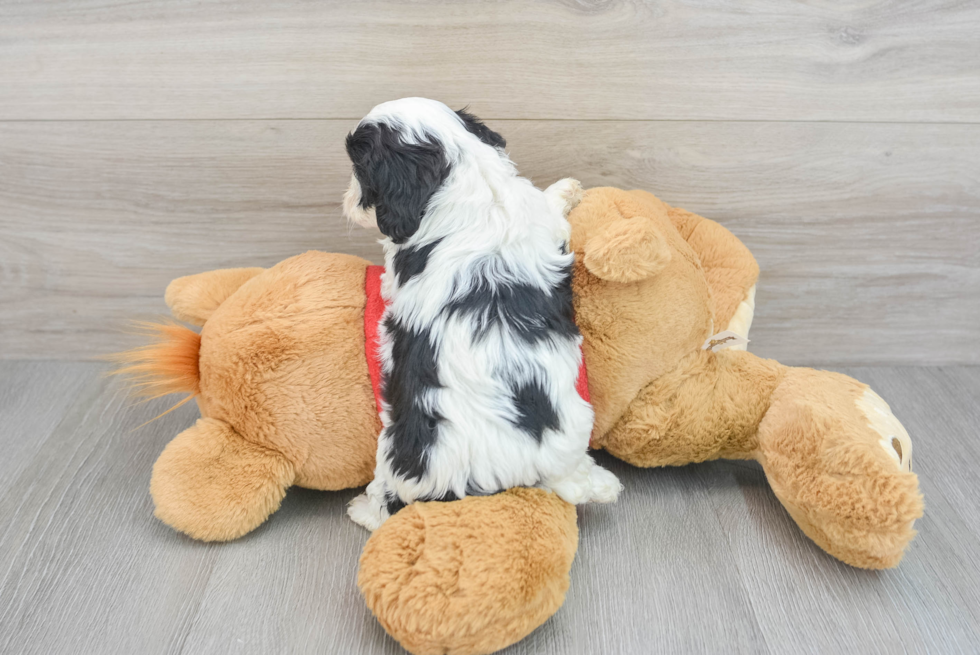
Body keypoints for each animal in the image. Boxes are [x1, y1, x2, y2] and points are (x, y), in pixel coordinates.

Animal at [344, 97, 620, 532]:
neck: (467, 174)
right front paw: (566, 189)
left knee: (388, 499)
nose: (350, 198)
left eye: (360, 168)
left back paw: (364, 511)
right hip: (573, 428)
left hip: (395, 454)